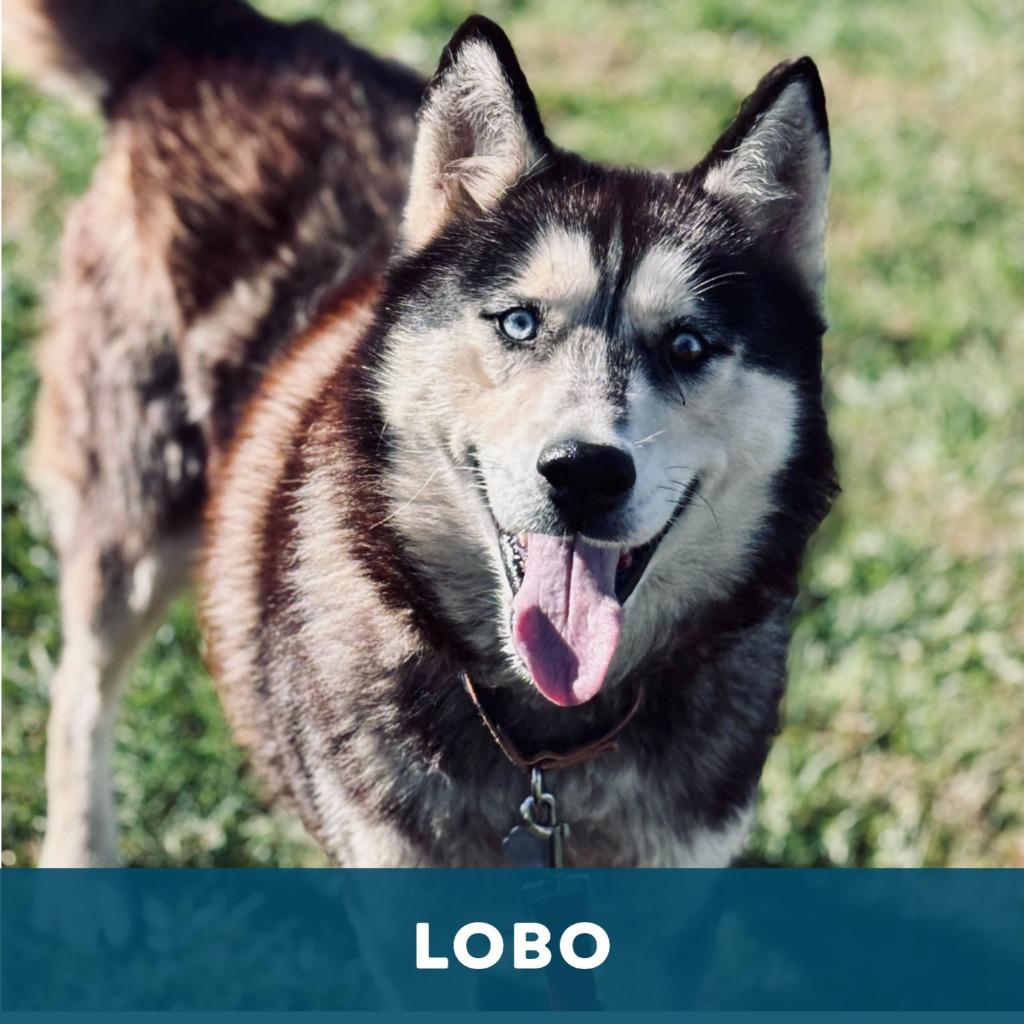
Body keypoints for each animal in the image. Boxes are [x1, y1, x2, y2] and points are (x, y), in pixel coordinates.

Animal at [9, 0, 836, 867]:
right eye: (518, 322)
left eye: (687, 346)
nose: (584, 472)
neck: (543, 751)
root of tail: (225, 37)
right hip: (138, 509)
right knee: (80, 691)